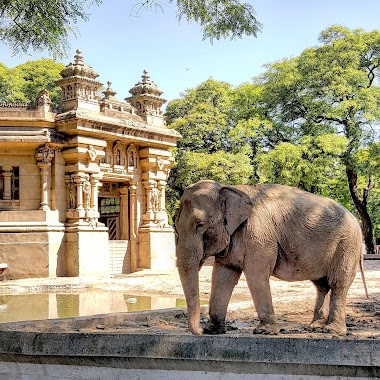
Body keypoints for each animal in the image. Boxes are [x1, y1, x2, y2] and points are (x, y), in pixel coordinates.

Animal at [175, 180, 366, 334]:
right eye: (175, 225)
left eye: (200, 225)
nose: (199, 330)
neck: (230, 188)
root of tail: (355, 219)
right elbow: (223, 275)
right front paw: (213, 331)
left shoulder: (259, 235)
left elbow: (256, 275)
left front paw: (264, 332)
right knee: (322, 285)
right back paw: (315, 327)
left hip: (347, 246)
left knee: (338, 283)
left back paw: (332, 331)